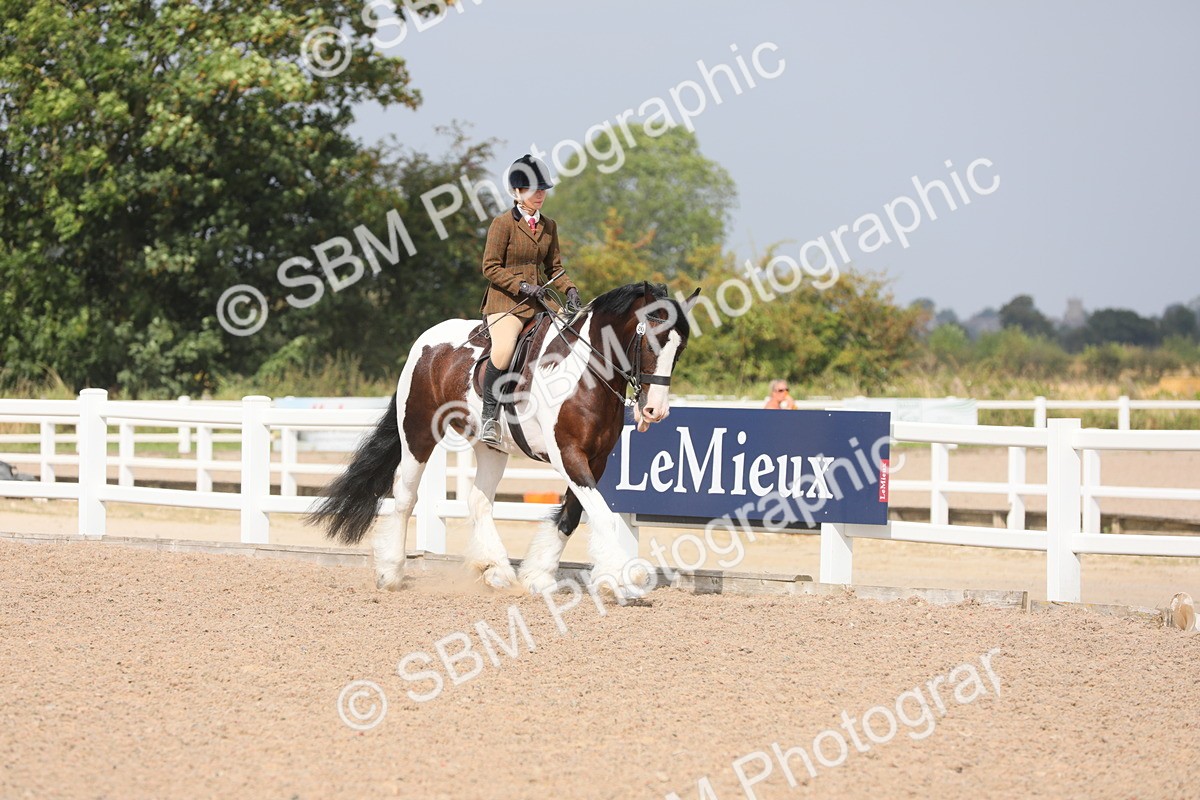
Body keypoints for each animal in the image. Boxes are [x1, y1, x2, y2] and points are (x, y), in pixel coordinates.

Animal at [307, 281, 701, 598]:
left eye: (680, 349)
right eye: (651, 341)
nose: (655, 411)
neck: (585, 374)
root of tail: (425, 342)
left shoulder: (596, 459)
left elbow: (571, 516)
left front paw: (539, 576)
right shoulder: (568, 454)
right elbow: (602, 516)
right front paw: (623, 577)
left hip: (490, 447)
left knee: (479, 500)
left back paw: (495, 570)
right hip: (418, 433)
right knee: (405, 495)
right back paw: (391, 572)